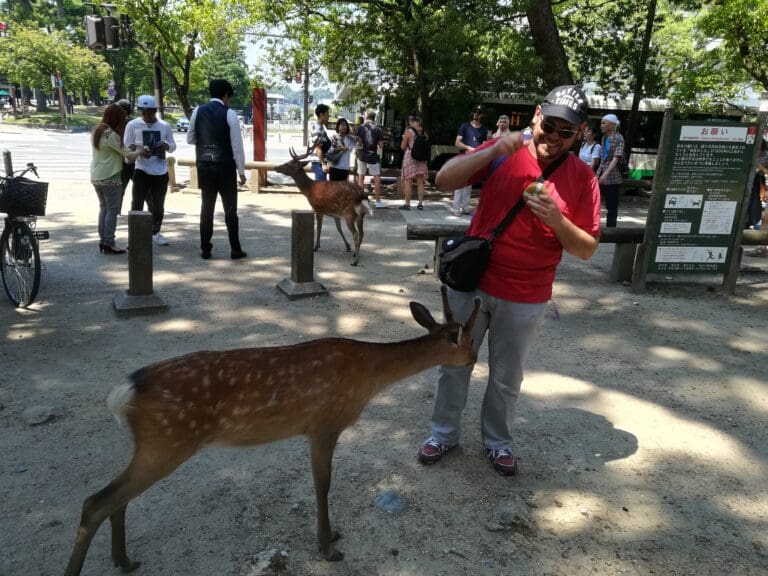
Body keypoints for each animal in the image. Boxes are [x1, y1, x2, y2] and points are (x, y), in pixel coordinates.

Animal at [63, 286, 480, 576]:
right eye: (472, 340)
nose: (475, 359)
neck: (368, 379)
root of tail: (123, 393)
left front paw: (332, 537)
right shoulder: (325, 424)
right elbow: (323, 484)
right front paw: (328, 547)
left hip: (153, 444)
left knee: (116, 498)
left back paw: (124, 560)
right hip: (168, 440)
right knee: (96, 501)